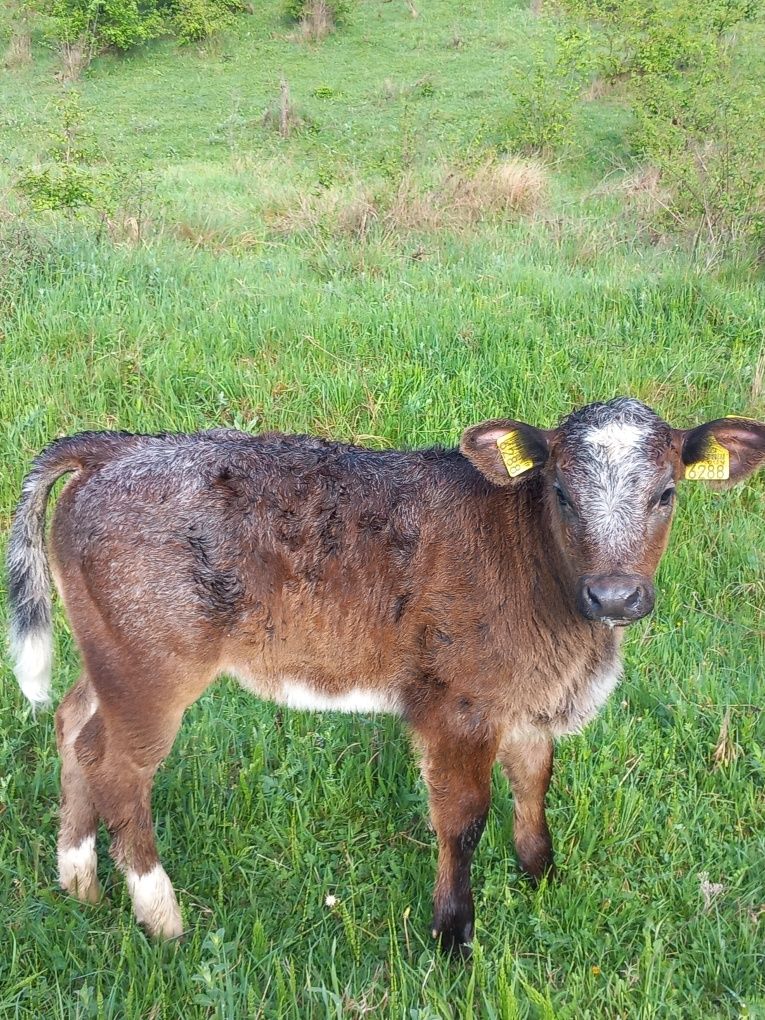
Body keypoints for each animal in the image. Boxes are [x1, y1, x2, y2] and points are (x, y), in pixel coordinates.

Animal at [7, 395, 765, 946]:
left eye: (666, 493)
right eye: (562, 493)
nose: (614, 595)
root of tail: (117, 445)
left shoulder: (527, 698)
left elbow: (532, 784)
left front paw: (541, 878)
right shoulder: (458, 704)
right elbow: (463, 816)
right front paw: (453, 935)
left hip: (107, 650)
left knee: (75, 725)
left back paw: (78, 879)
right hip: (153, 664)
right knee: (118, 767)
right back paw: (161, 916)